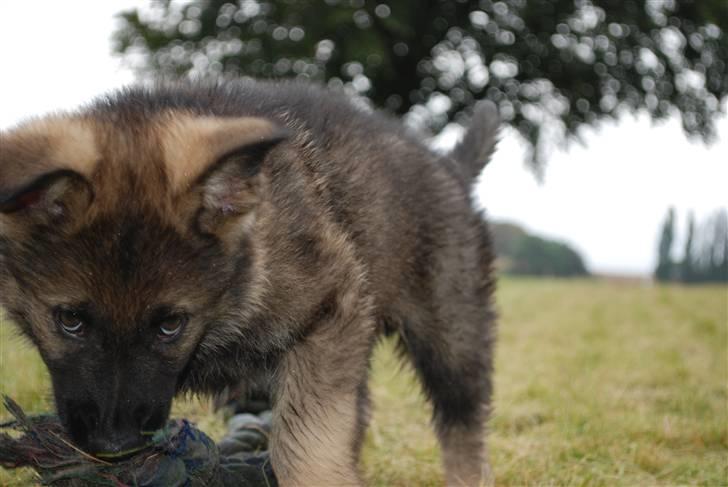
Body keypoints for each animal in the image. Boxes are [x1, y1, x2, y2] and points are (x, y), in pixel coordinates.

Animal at [0, 82, 498, 486]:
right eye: (69, 320)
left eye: (170, 325)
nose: (115, 446)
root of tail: (449, 166)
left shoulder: (332, 309)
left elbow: (308, 440)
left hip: (451, 335)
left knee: (463, 423)